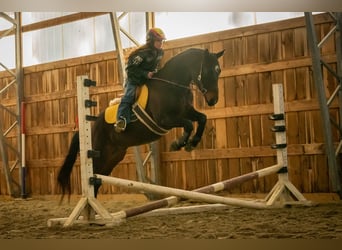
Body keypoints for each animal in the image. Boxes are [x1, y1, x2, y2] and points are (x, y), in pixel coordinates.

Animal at [57, 47, 224, 198]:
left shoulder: (185, 112)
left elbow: (202, 118)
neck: (171, 85)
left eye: (219, 71)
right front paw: (178, 144)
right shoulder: (165, 120)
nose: (213, 100)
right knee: (93, 178)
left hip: (113, 156)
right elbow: (189, 124)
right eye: (208, 71)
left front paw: (192, 143)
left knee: (98, 180)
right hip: (99, 154)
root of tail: (91, 127)